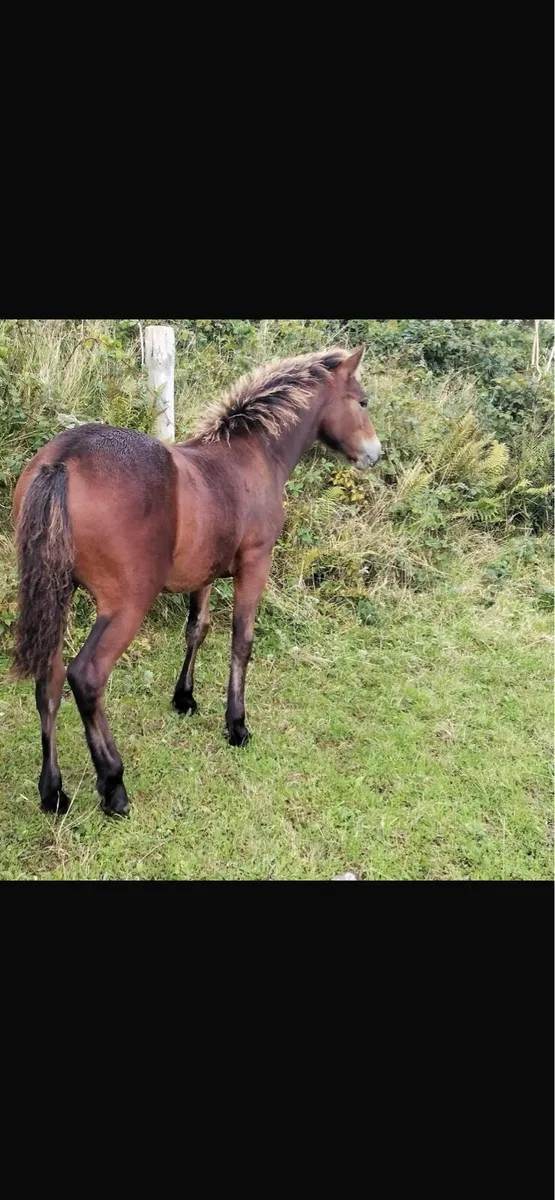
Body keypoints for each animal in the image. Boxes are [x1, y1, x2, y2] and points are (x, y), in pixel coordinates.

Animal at [12, 345, 382, 817]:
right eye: (362, 401)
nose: (375, 453)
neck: (251, 455)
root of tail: (63, 459)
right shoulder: (255, 565)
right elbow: (242, 641)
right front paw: (237, 725)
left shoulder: (204, 572)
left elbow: (197, 629)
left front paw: (184, 698)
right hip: (125, 605)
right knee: (86, 676)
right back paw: (113, 784)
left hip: (57, 593)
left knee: (50, 680)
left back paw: (53, 791)